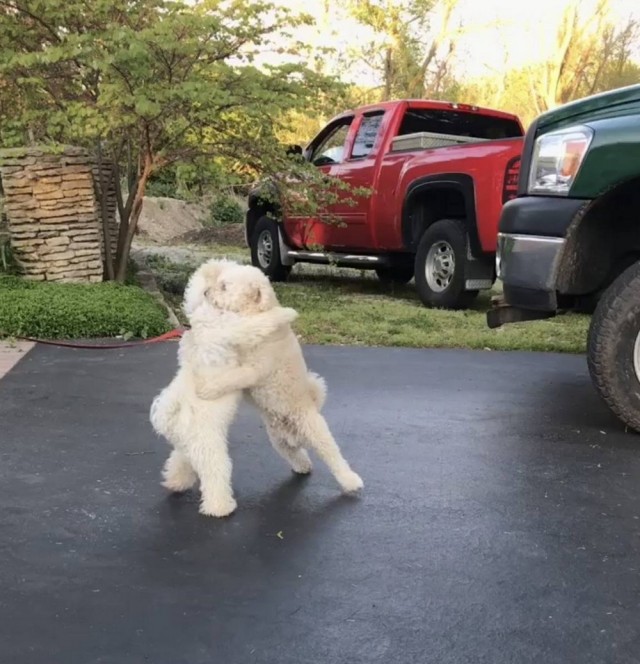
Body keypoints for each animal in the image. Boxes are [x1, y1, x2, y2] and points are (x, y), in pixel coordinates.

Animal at [150, 260, 298, 520]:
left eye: (224, 286)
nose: (209, 293)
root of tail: (172, 418)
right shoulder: (233, 328)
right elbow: (258, 324)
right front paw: (285, 313)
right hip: (209, 447)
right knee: (214, 475)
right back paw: (220, 508)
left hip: (188, 446)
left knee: (181, 461)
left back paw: (175, 482)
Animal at [195, 262, 364, 496]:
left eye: (224, 287)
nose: (205, 292)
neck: (255, 313)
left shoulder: (253, 370)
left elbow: (234, 376)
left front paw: (209, 388)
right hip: (279, 440)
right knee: (298, 454)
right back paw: (303, 467)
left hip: (316, 432)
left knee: (333, 456)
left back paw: (350, 481)